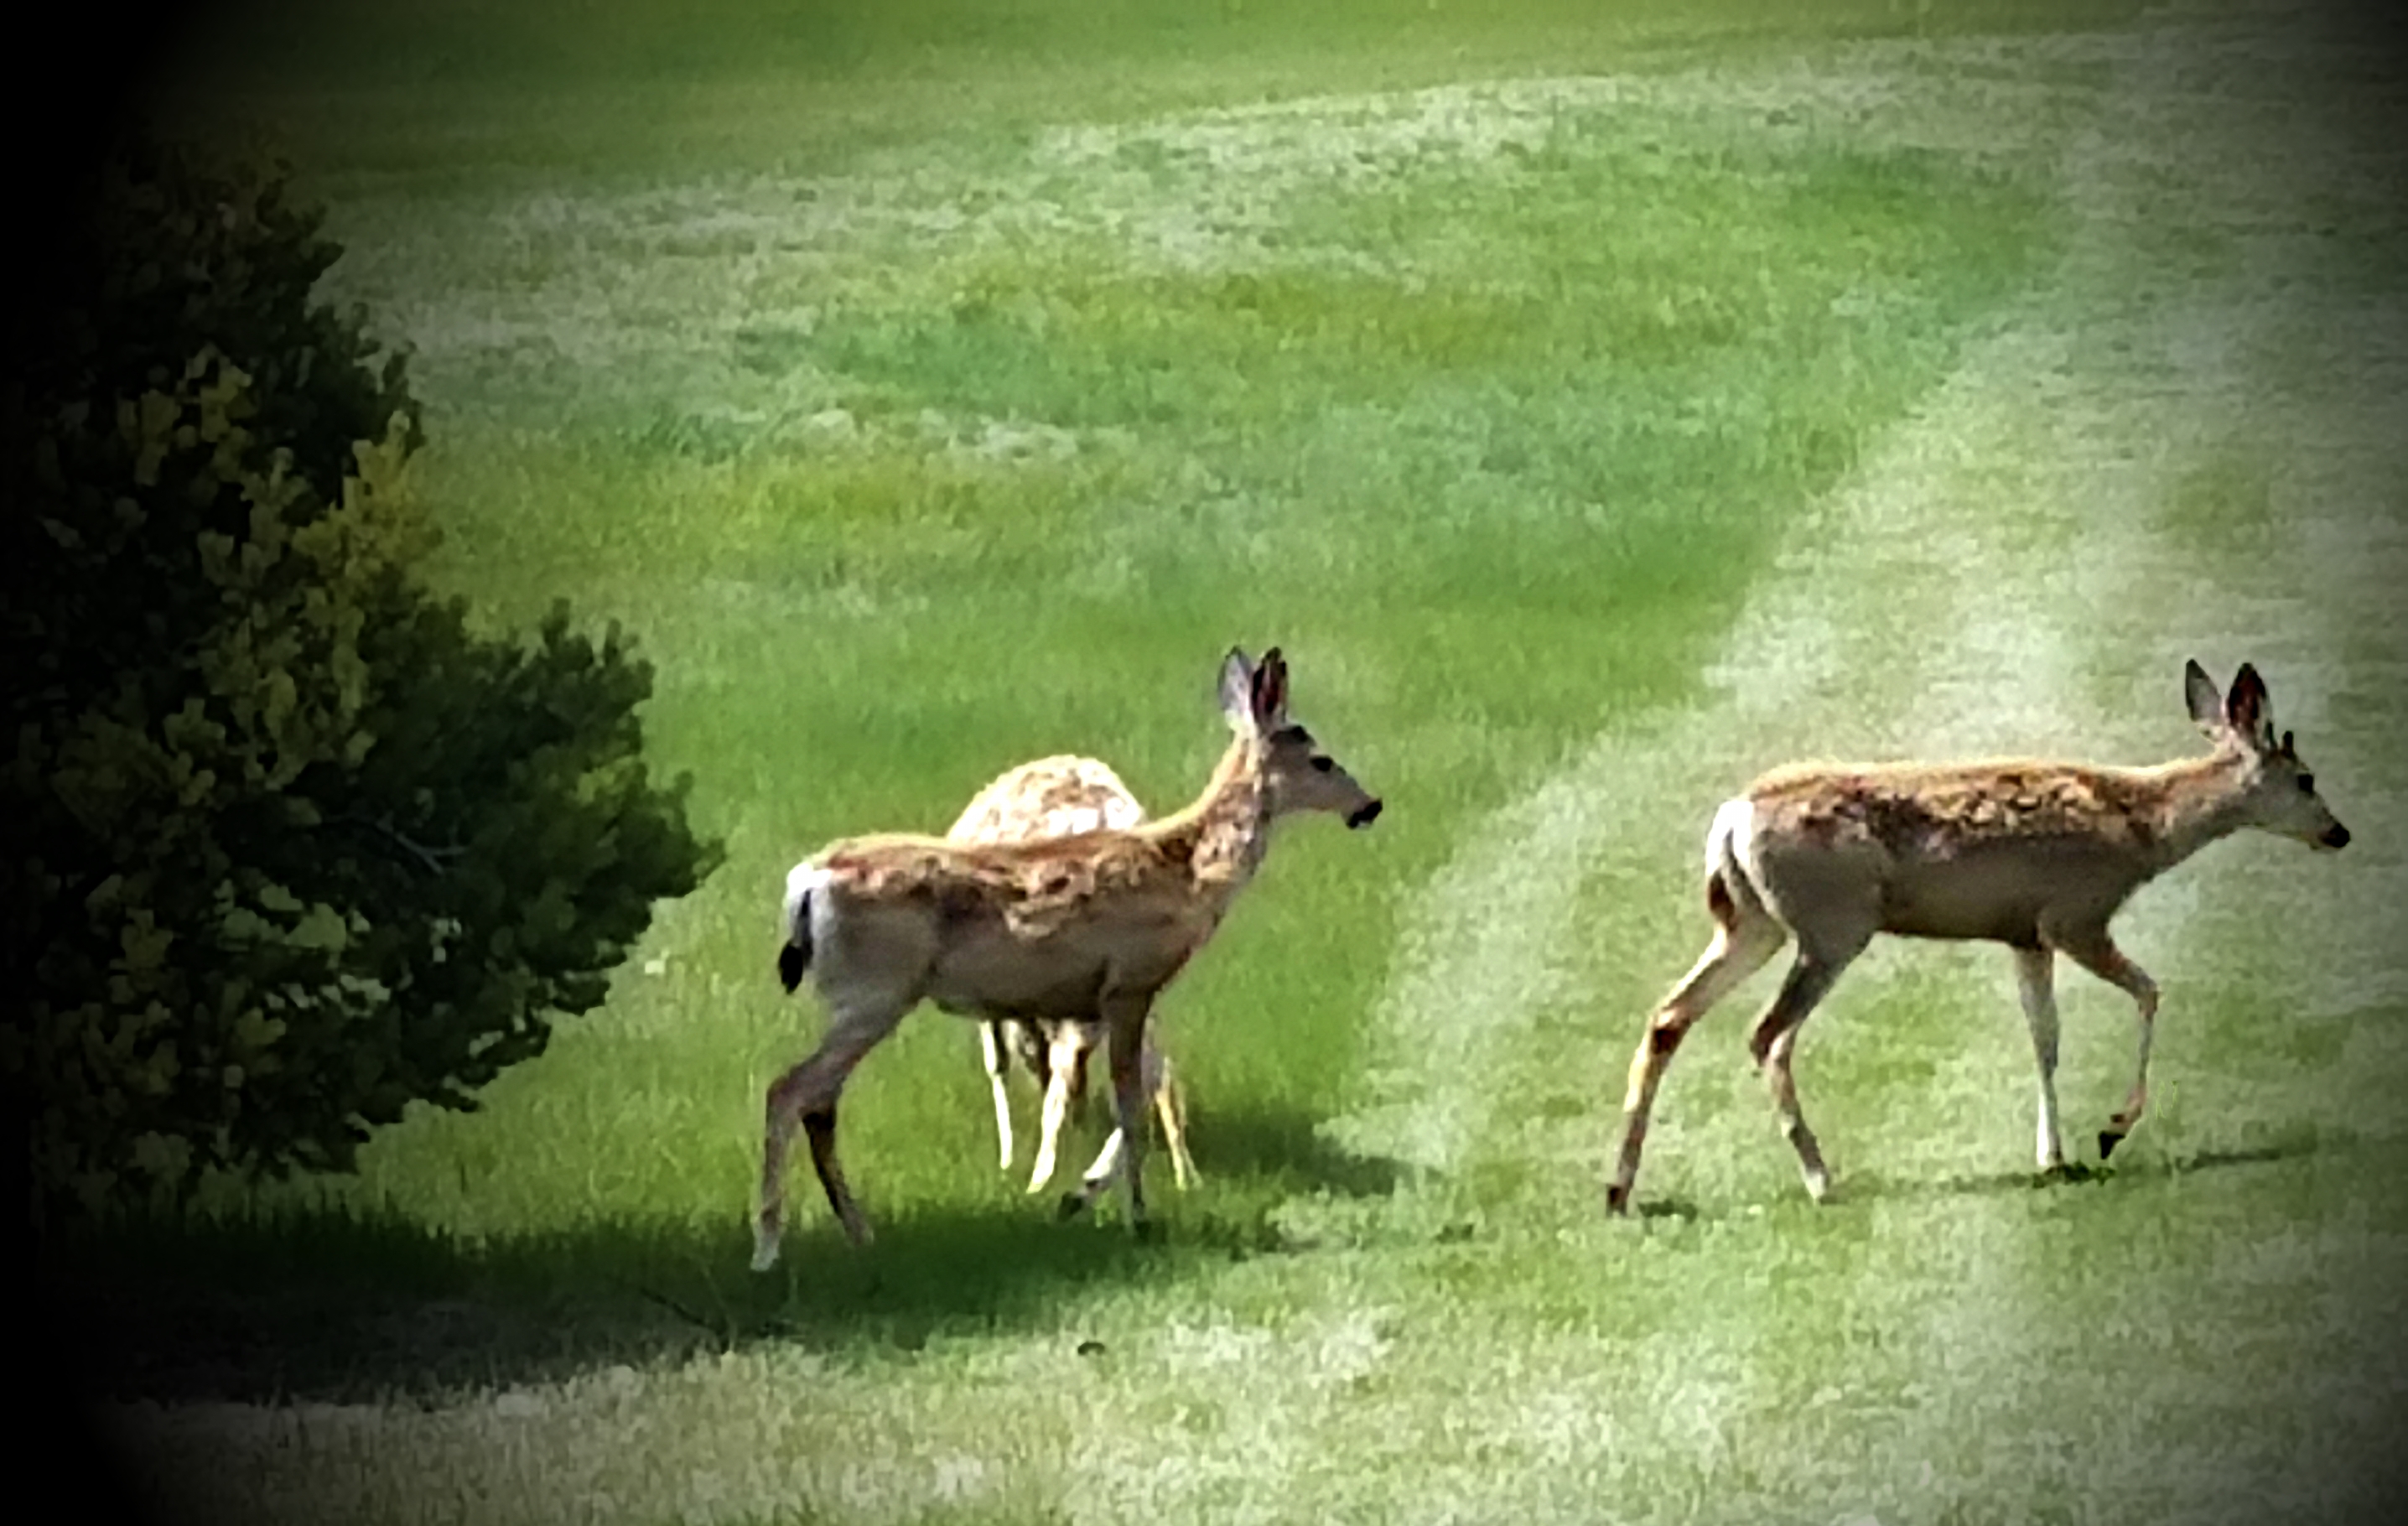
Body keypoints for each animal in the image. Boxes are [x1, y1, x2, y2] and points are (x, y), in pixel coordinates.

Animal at [1604, 660, 2350, 1216]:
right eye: (2307, 778)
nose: (2339, 832)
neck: (2141, 829)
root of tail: (1733, 814)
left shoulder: (2025, 933)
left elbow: (2045, 1039)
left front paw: (2053, 1156)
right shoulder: (2076, 914)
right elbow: (2148, 992)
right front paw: (2109, 1131)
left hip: (1748, 922)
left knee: (1669, 1017)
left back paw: (1618, 1190)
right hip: (1831, 925)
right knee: (1768, 1035)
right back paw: (1821, 1180)